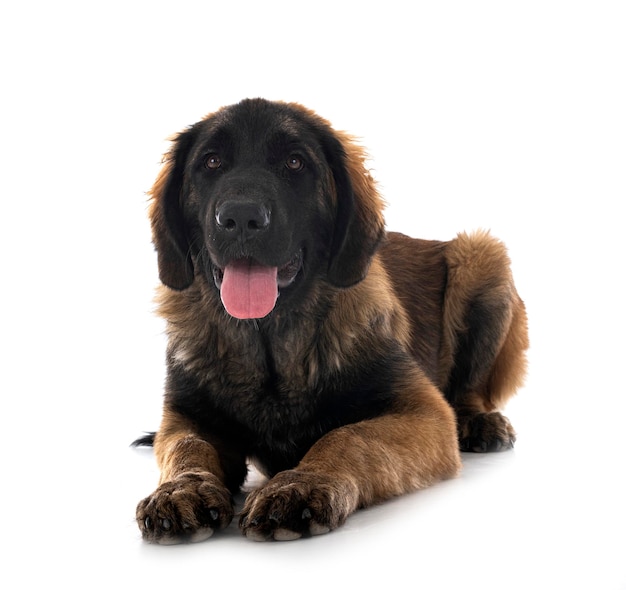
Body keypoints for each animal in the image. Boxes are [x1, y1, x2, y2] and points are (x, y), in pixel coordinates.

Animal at [133, 98, 528, 544]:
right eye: (212, 161)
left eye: (294, 162)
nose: (240, 218)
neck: (272, 346)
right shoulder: (187, 418)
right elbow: (186, 448)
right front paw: (180, 489)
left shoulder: (424, 413)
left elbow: (348, 437)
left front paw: (301, 483)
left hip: (482, 256)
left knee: (471, 390)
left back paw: (480, 421)